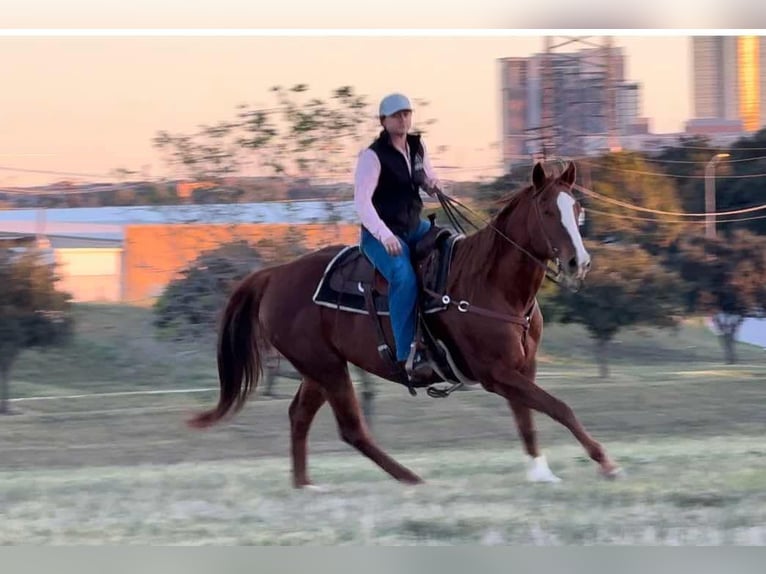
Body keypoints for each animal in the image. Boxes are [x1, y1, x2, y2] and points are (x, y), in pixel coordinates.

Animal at [187, 160, 622, 488]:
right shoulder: (495, 373)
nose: (579, 262)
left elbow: (527, 419)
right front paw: (606, 462)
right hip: (326, 368)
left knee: (300, 417)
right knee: (352, 429)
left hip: (318, 369)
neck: (489, 283)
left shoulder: (520, 369)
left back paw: (305, 487)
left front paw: (540, 472)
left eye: (577, 209)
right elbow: (559, 407)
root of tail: (275, 274)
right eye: (548, 211)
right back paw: (412, 479)